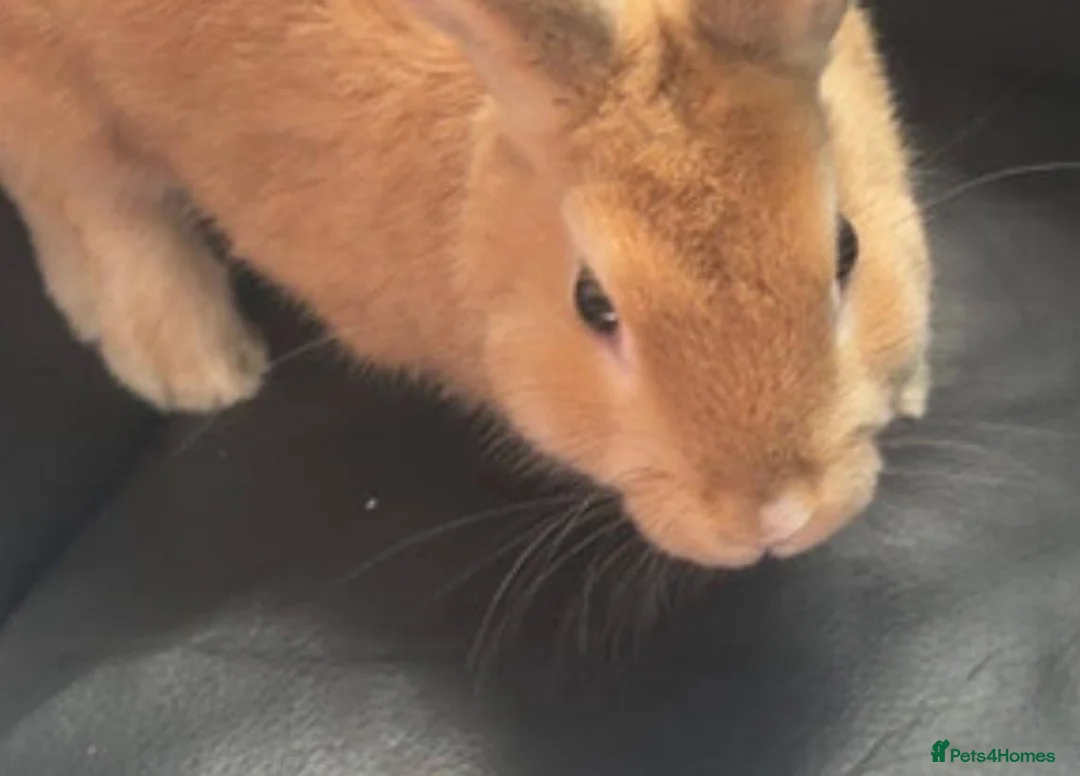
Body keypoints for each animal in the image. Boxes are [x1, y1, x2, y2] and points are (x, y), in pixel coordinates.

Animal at [0, 0, 930, 568]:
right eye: (593, 304)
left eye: (846, 247)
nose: (771, 517)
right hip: (53, 88)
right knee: (87, 197)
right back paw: (195, 367)